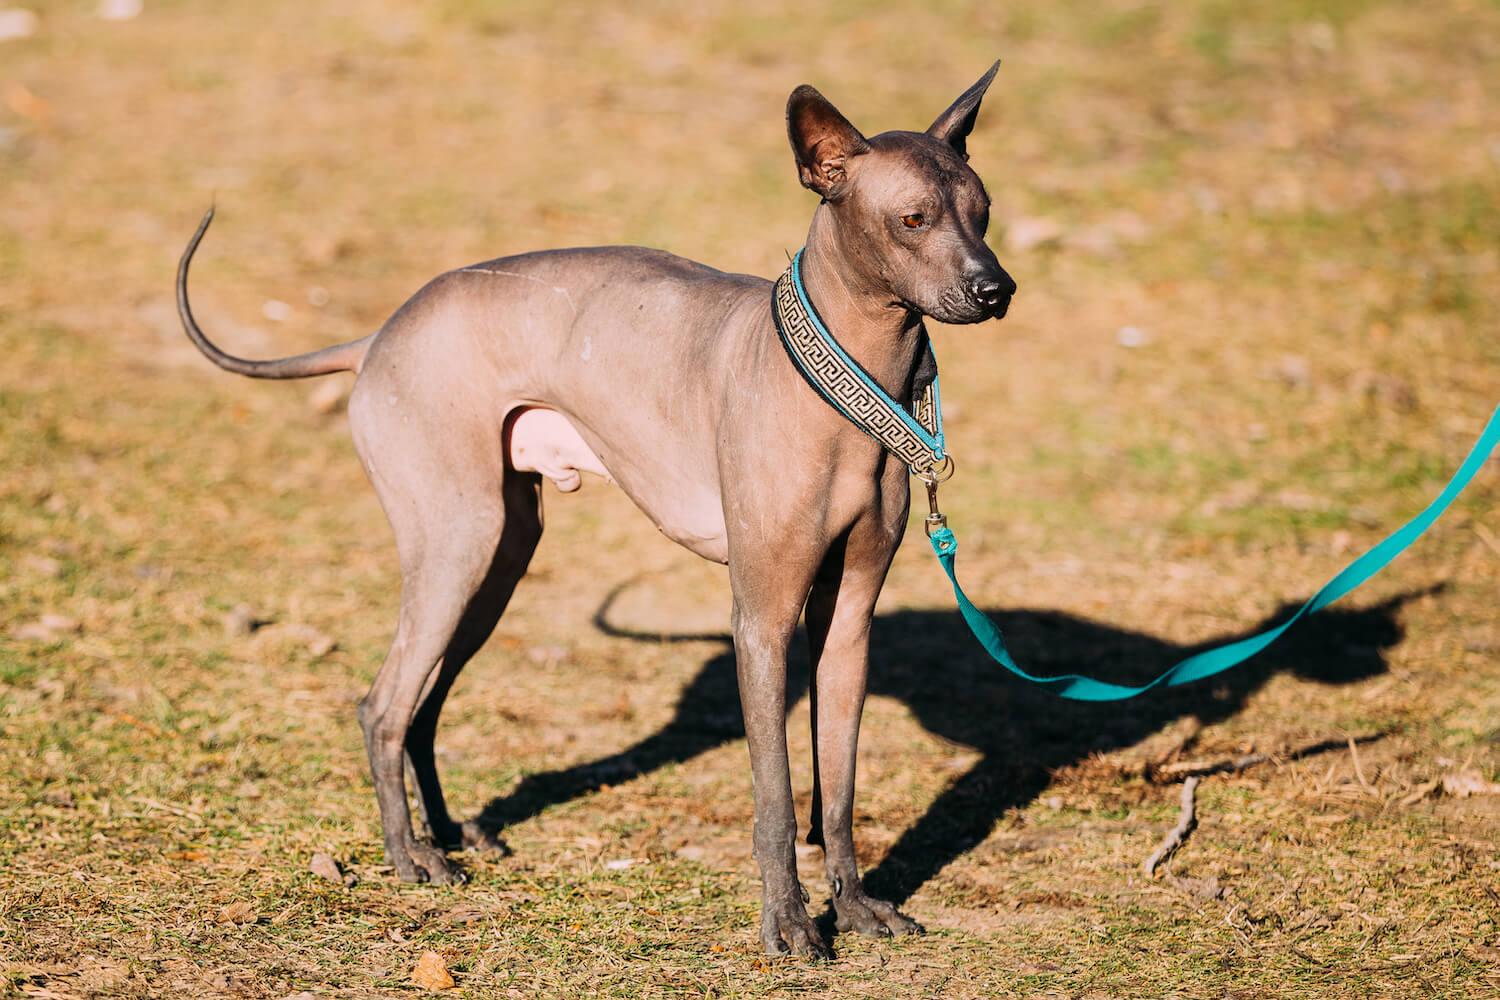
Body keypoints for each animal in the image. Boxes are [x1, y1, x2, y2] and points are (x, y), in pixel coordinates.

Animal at [178, 64, 1020, 959]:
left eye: (984, 210)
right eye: (912, 218)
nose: (995, 288)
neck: (850, 383)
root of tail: (376, 335)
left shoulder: (849, 615)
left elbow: (839, 788)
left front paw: (856, 909)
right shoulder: (761, 618)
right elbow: (776, 796)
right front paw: (790, 925)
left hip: (500, 557)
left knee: (424, 706)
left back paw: (446, 833)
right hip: (458, 544)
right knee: (383, 706)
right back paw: (411, 857)